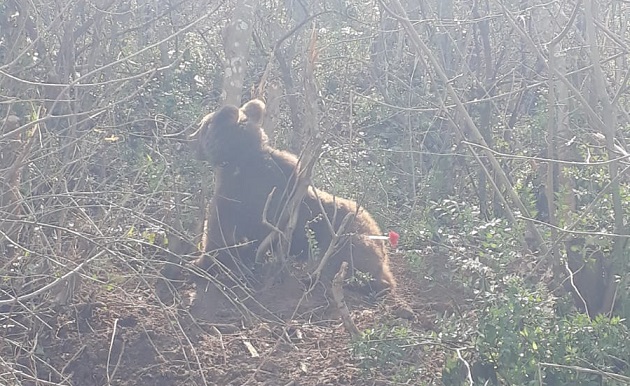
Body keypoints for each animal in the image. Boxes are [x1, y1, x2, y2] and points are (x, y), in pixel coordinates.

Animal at [195, 99, 398, 292]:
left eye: (204, 124)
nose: (190, 138)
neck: (240, 159)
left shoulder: (238, 197)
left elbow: (218, 233)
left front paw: (202, 264)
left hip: (346, 240)